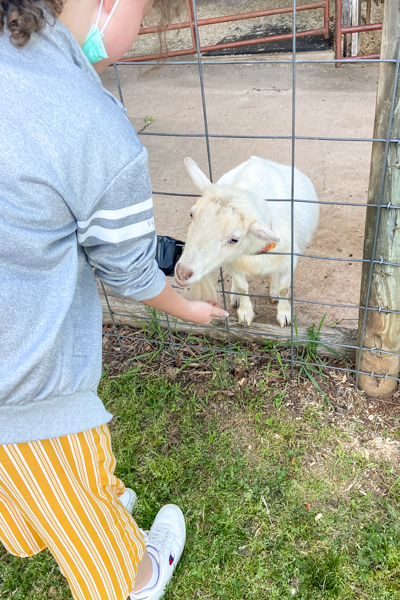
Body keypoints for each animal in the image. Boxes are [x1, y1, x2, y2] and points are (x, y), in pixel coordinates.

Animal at [175, 155, 318, 328]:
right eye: (191, 214)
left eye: (234, 239)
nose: (182, 273)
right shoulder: (232, 262)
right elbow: (242, 287)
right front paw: (244, 313)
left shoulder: (288, 259)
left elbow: (284, 289)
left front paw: (284, 315)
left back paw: (273, 291)